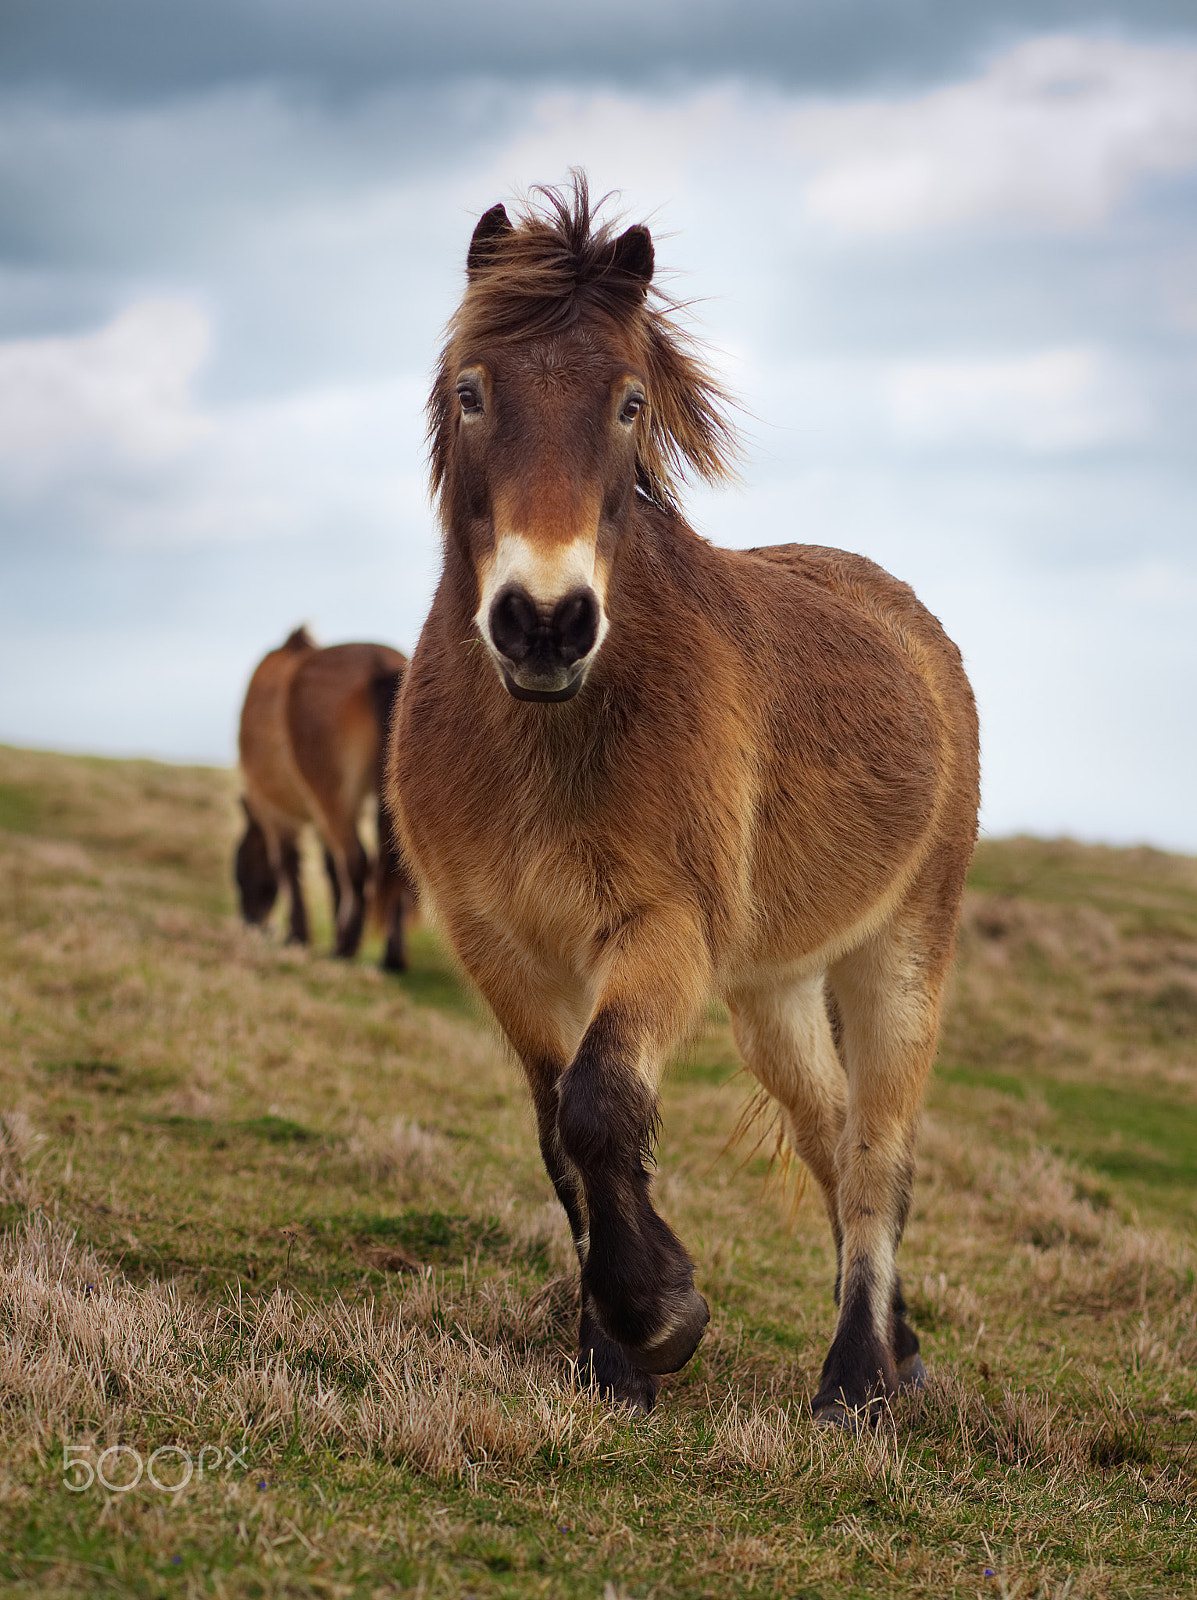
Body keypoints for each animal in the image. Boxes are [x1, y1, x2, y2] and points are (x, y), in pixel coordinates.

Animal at [238, 630, 416, 966]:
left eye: (242, 873)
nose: (249, 921)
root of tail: (377, 662)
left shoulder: (277, 815)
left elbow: (288, 867)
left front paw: (297, 934)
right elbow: (330, 868)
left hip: (332, 801)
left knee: (356, 862)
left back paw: (345, 944)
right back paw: (392, 957)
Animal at [388, 181, 979, 1420]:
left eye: (628, 402)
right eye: (473, 389)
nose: (545, 622)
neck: (552, 734)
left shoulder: (661, 930)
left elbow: (602, 1103)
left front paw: (662, 1316)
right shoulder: (501, 949)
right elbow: (559, 1134)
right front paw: (612, 1356)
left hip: (899, 957)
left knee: (879, 1154)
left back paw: (857, 1381)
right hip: (775, 991)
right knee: (829, 1132)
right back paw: (897, 1349)